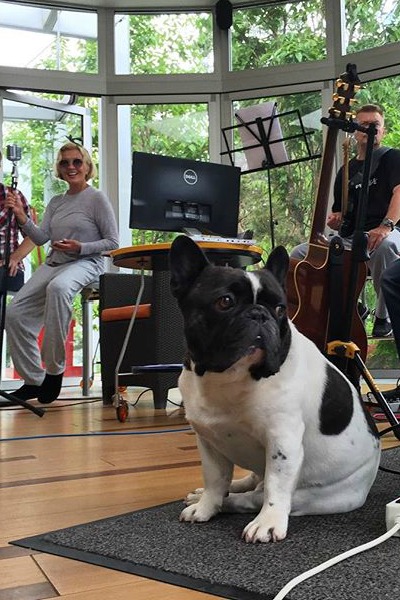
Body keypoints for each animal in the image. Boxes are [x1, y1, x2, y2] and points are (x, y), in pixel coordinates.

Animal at [169, 236, 382, 544]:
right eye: (225, 301)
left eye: (280, 308)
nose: (260, 314)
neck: (230, 376)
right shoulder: (209, 440)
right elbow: (214, 478)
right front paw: (206, 505)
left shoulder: (283, 440)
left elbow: (275, 485)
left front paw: (267, 523)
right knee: (249, 481)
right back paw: (220, 492)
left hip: (313, 496)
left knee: (256, 495)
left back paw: (237, 503)